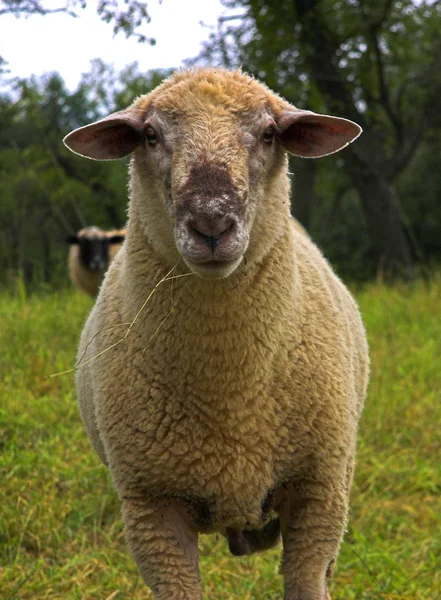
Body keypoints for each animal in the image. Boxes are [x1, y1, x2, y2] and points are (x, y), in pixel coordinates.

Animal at [63, 68, 370, 596]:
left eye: (269, 134)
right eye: (150, 135)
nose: (211, 223)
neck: (230, 394)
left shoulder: (320, 492)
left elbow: (308, 581)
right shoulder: (151, 509)